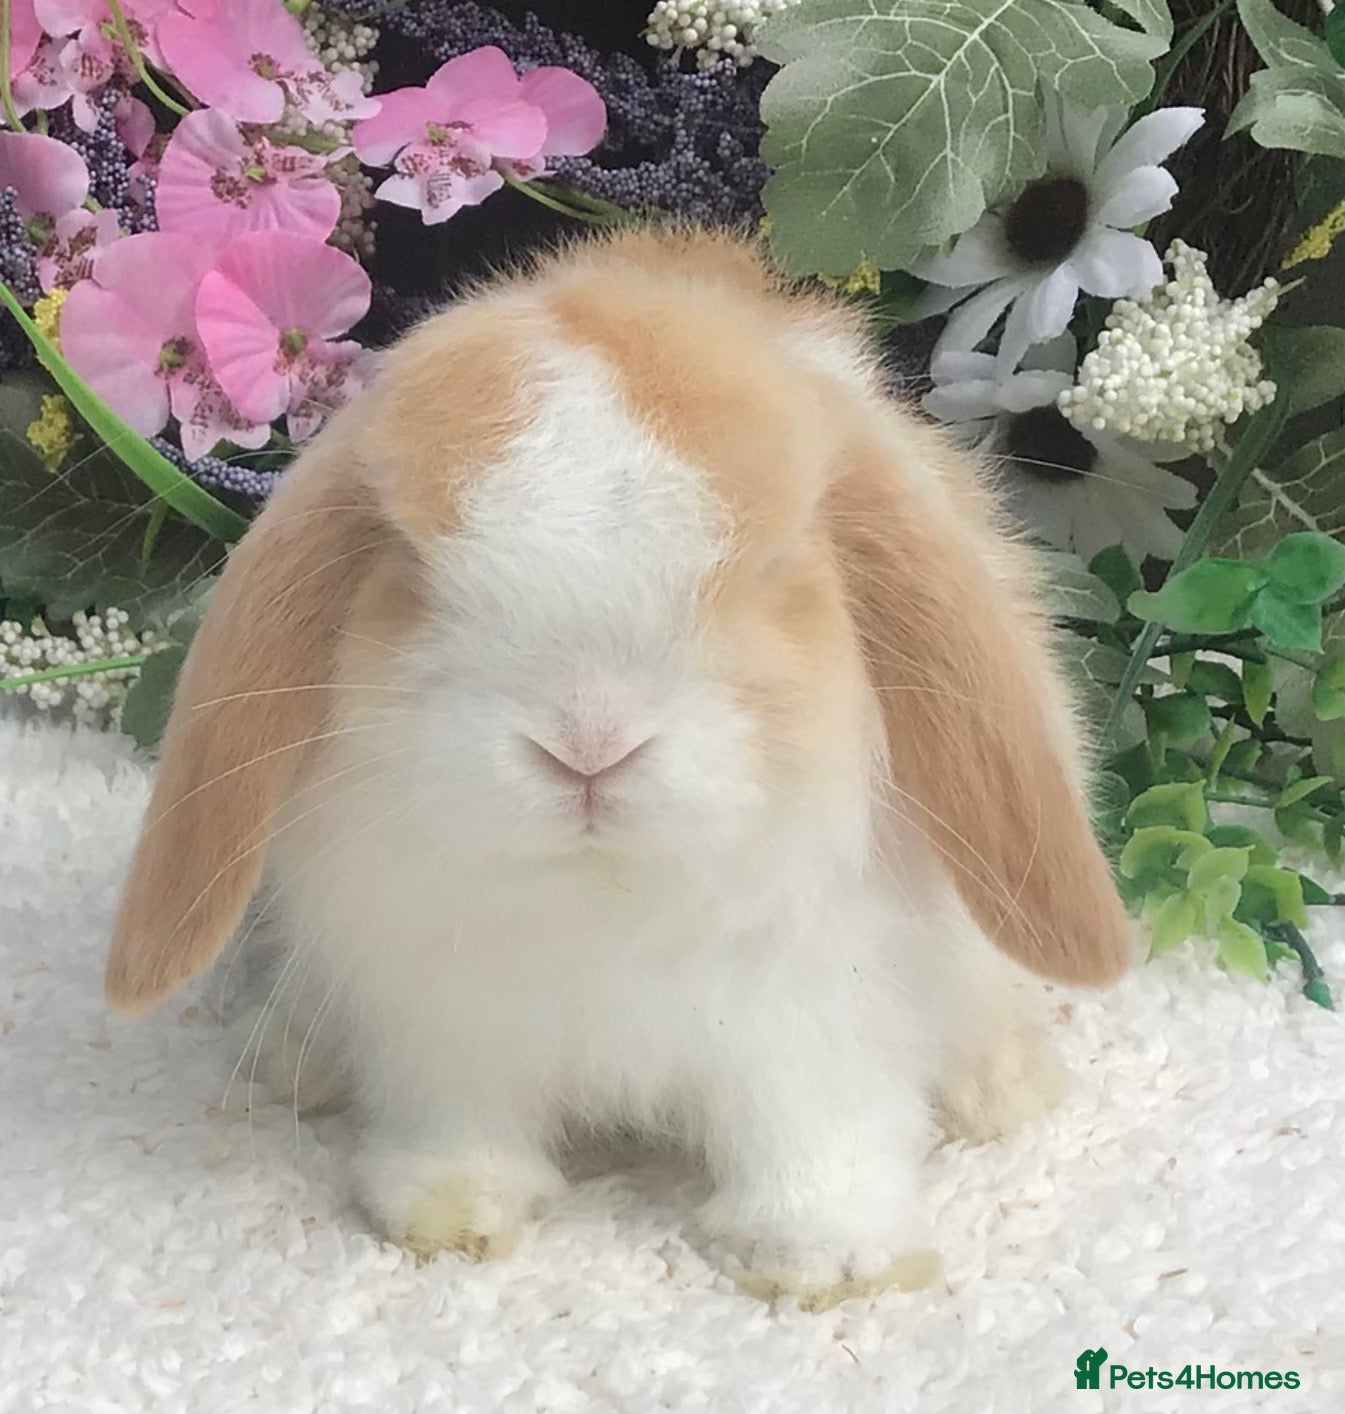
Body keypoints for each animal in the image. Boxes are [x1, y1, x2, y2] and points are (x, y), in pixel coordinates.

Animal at [105, 226, 1133, 1311]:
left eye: (773, 569)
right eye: (411, 569)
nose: (587, 744)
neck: (603, 891)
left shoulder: (813, 1017)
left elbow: (815, 1129)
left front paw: (828, 1260)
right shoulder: (445, 1015)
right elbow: (460, 1118)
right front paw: (450, 1213)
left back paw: (1005, 1091)